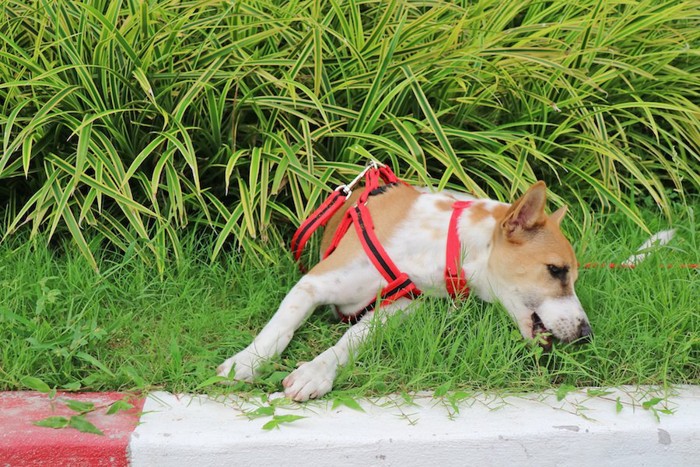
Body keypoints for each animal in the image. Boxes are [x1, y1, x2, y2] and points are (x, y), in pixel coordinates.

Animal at [219, 179, 592, 402]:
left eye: (573, 277)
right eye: (556, 271)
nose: (586, 333)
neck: (442, 245)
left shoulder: (401, 306)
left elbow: (353, 338)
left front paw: (315, 372)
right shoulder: (314, 283)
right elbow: (279, 328)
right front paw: (246, 362)